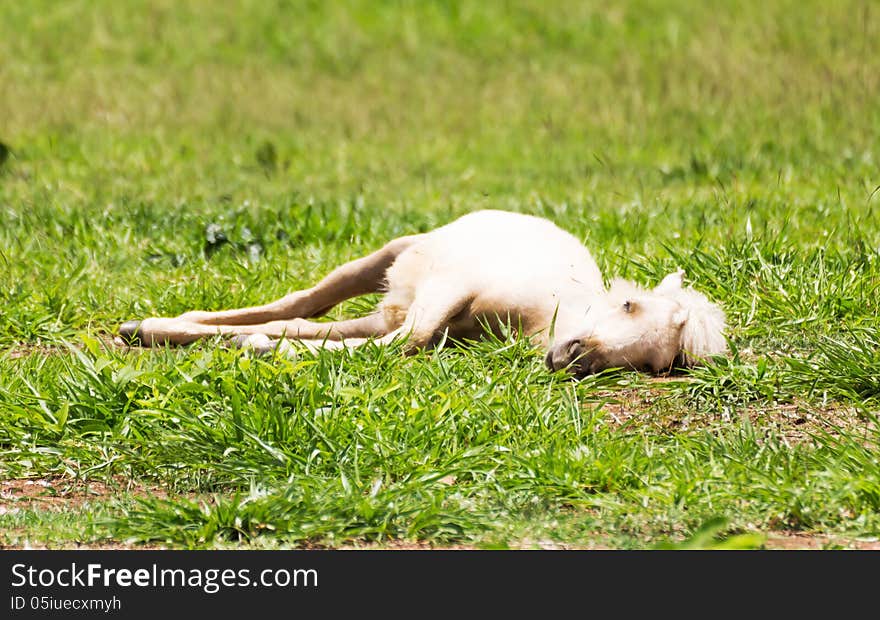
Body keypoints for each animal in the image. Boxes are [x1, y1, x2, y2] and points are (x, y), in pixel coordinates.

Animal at [117, 211, 724, 378]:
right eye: (629, 304)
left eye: (652, 363)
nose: (573, 355)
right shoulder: (453, 286)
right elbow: (413, 339)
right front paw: (264, 349)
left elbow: (402, 342)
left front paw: (268, 349)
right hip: (394, 254)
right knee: (303, 301)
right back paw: (146, 327)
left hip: (386, 300)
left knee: (307, 317)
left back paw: (156, 330)